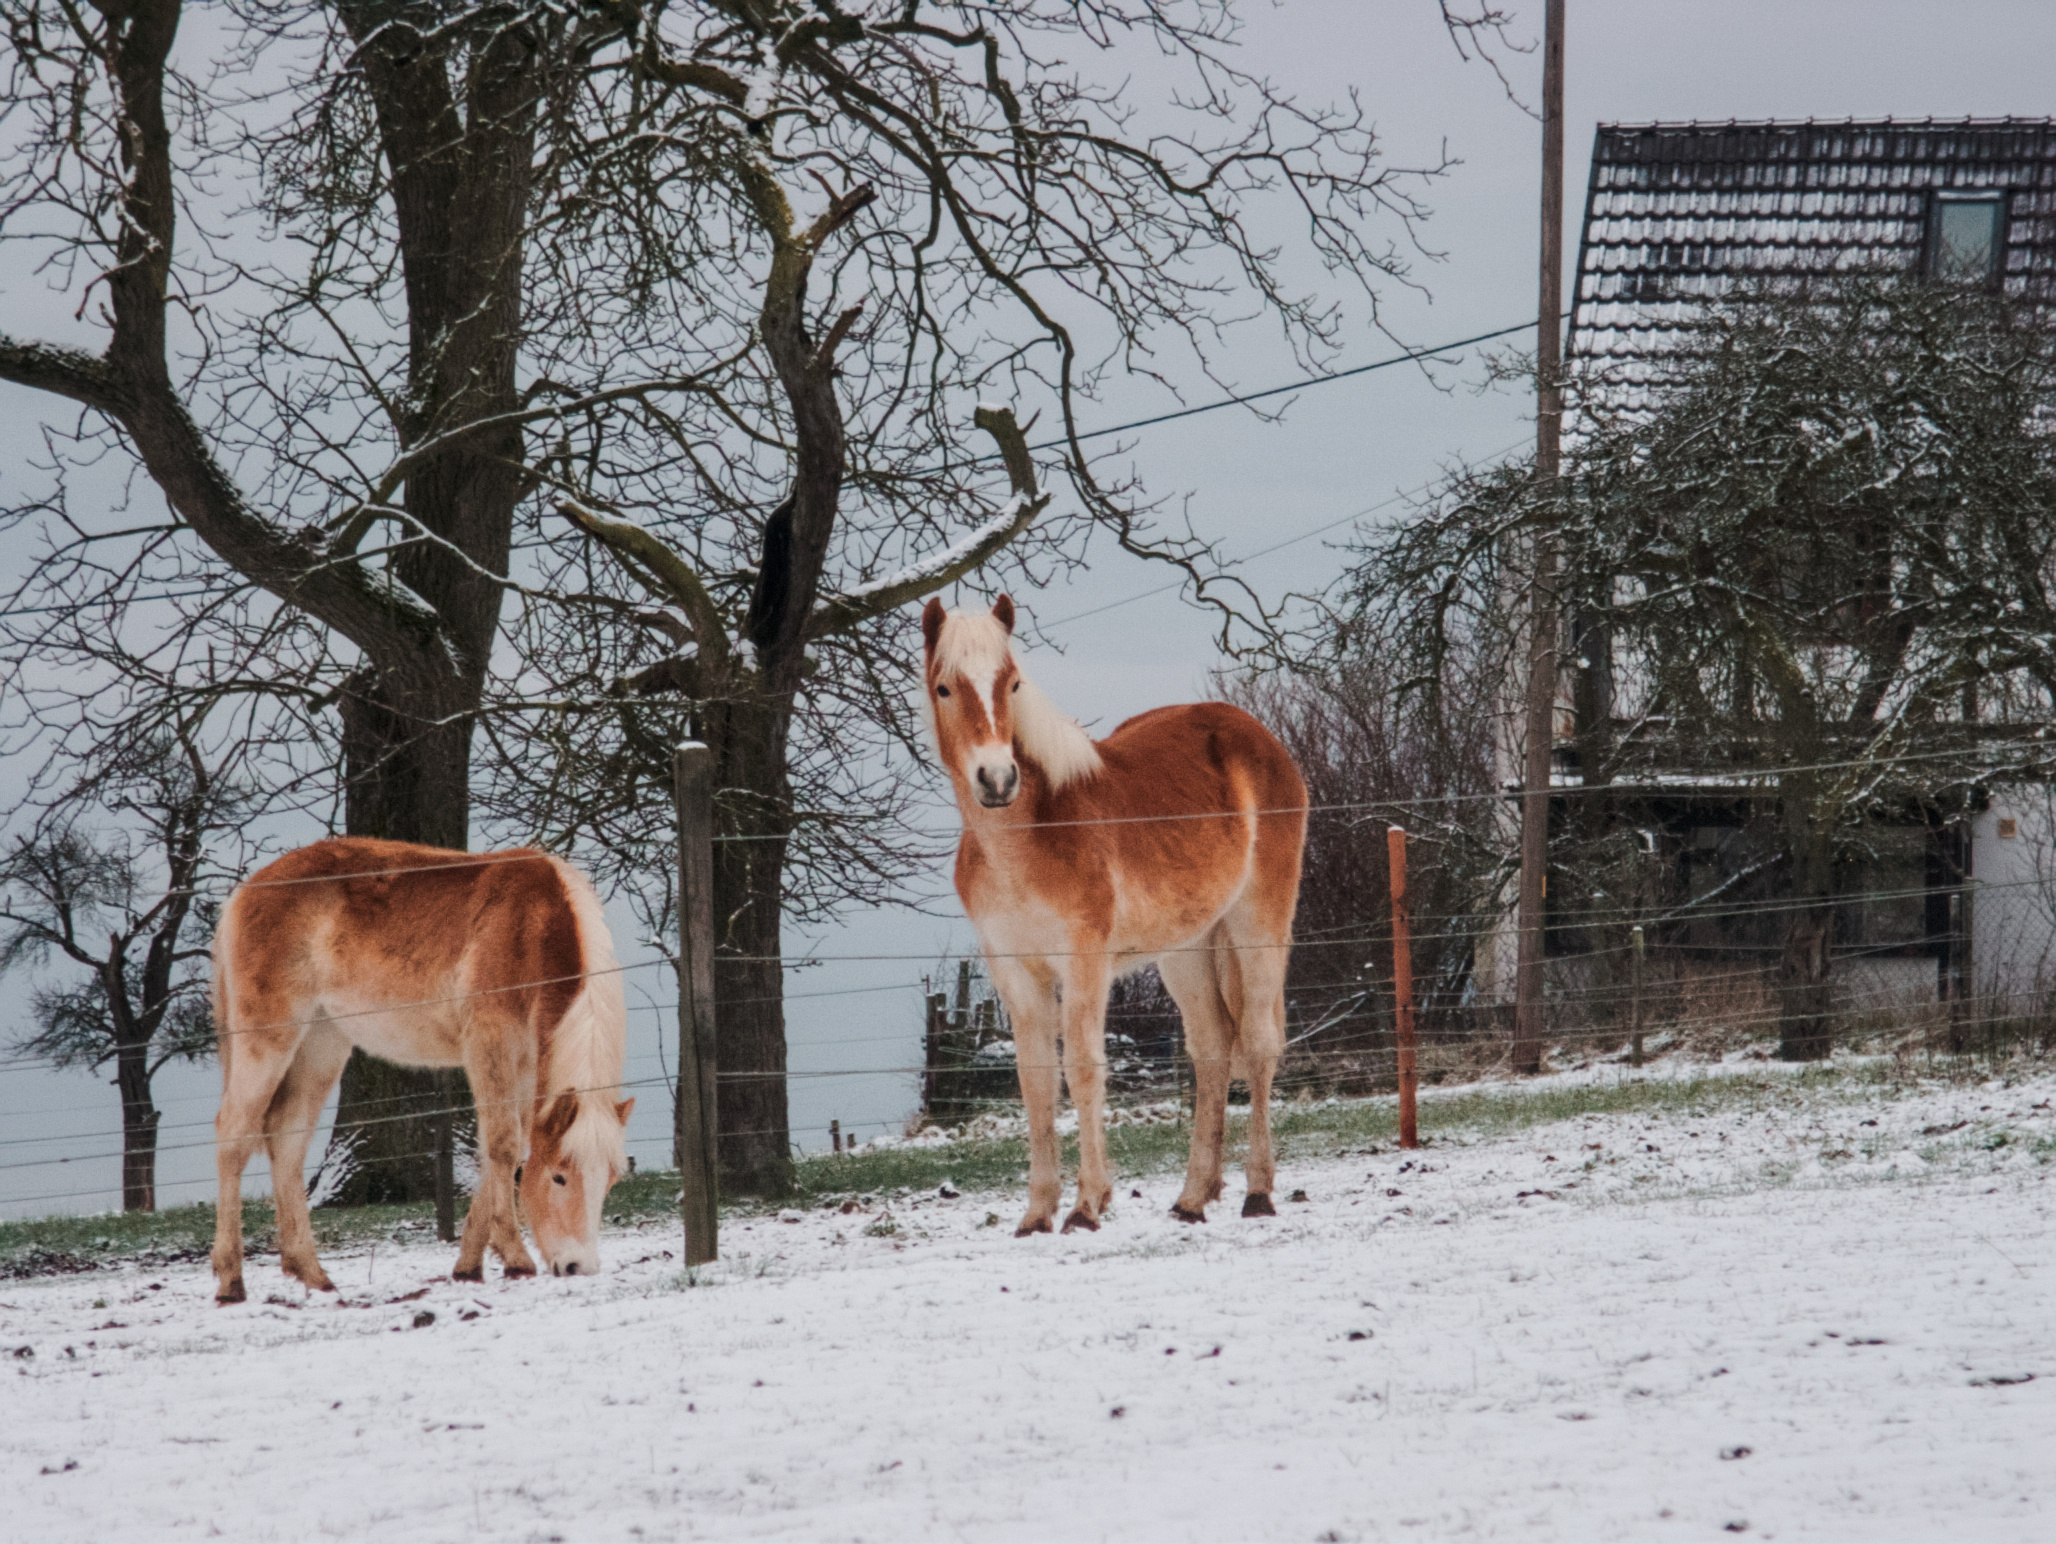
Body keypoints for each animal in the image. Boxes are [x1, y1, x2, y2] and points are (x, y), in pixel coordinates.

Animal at [207, 847, 629, 1307]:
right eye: (559, 1176)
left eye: (611, 1179)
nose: (578, 1266)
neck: (533, 926)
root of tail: (245, 892)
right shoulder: (489, 1044)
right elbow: (502, 1146)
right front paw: (515, 1257)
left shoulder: (528, 1063)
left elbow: (508, 1148)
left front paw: (469, 1266)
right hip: (267, 1040)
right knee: (233, 1137)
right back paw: (230, 1281)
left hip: (322, 1043)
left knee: (286, 1139)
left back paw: (313, 1274)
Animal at [925, 596, 1307, 1241]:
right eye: (944, 687)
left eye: (1013, 683)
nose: (998, 779)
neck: (1029, 837)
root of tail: (1260, 739)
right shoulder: (1015, 972)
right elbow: (1035, 1081)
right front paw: (1036, 1212)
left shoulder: (1084, 961)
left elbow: (1083, 1067)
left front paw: (1086, 1205)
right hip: (1187, 950)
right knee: (1211, 1049)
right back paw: (1192, 1198)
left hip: (1259, 926)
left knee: (1258, 1044)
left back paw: (1257, 1192)